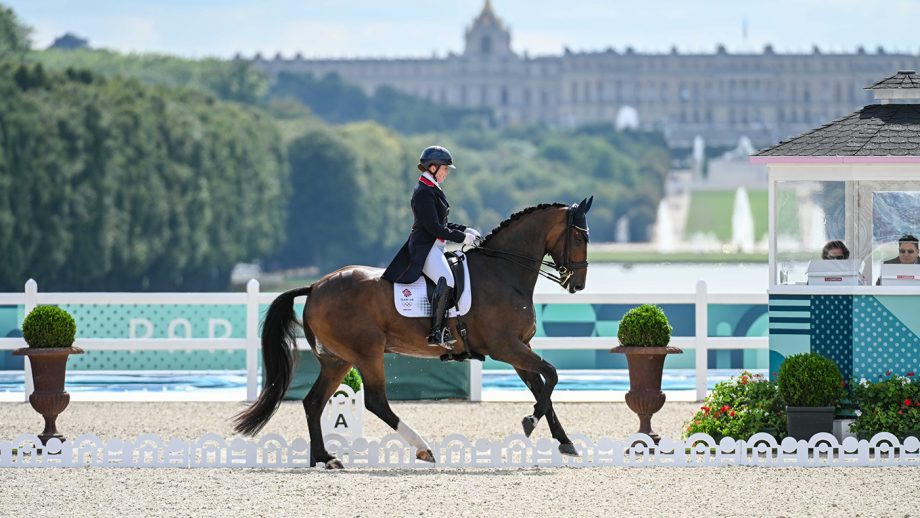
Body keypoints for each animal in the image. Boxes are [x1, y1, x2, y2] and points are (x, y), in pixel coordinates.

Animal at [235, 197, 596, 470]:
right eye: (580, 238)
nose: (577, 285)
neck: (503, 272)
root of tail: (315, 286)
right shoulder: (506, 346)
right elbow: (552, 376)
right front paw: (530, 423)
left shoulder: (519, 348)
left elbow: (542, 388)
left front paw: (565, 442)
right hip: (367, 352)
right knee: (375, 401)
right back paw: (423, 448)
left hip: (337, 359)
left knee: (313, 402)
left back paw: (326, 458)